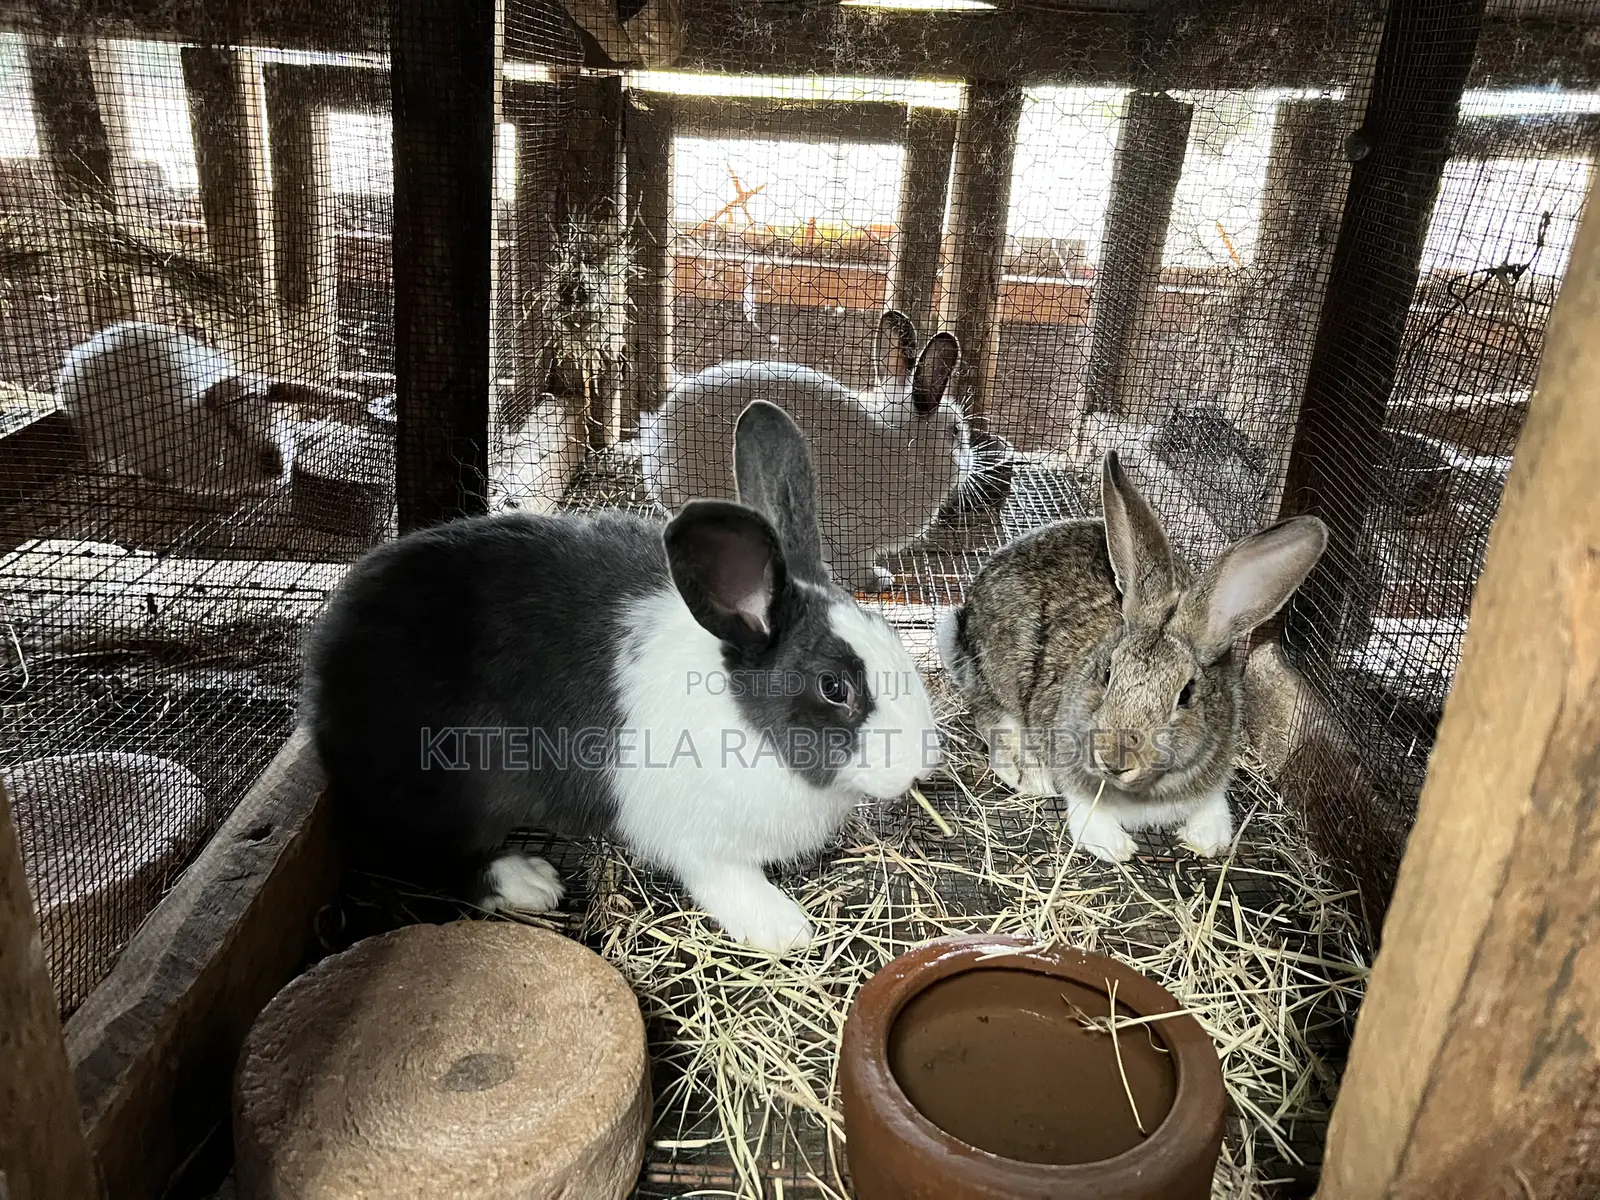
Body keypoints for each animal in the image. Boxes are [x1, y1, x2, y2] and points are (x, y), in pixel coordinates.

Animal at [303, 399, 943, 954]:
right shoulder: (695, 840)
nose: (922, 765)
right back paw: (528, 879)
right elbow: (726, 880)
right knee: (424, 855)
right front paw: (785, 929)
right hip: (449, 786)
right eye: (834, 687)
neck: (745, 722)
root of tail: (326, 663)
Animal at [638, 310, 966, 593]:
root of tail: (655, 441)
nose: (971, 462)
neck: (907, 445)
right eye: (956, 431)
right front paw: (877, 580)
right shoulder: (848, 537)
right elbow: (852, 567)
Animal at [937, 450, 1327, 863]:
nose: (1114, 759)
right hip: (1000, 671)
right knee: (991, 712)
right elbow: (1084, 807)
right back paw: (1029, 772)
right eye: (1107, 673)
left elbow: (1213, 806)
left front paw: (1208, 840)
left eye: (1186, 694)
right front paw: (1115, 846)